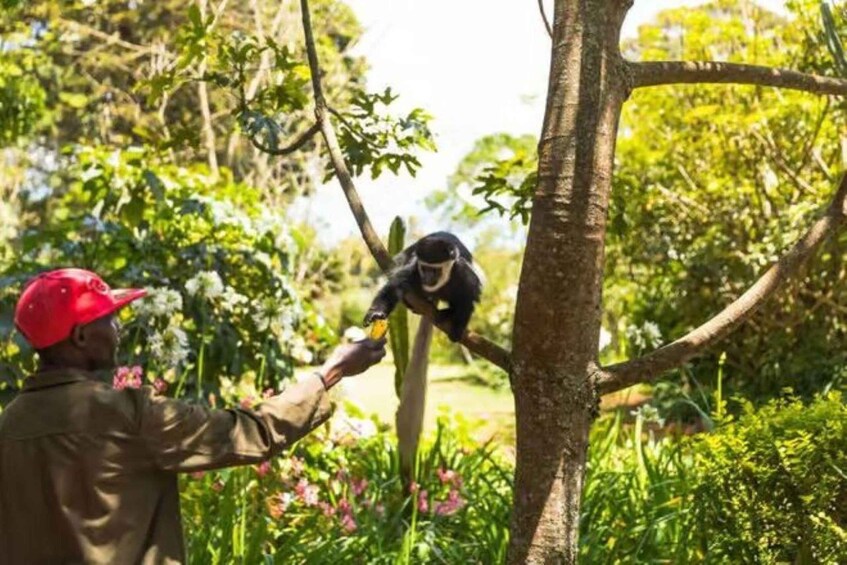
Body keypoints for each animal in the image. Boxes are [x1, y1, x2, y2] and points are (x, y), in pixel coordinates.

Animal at [363, 232, 483, 482]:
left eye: (434, 270)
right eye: (424, 268)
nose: (427, 278)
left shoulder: (463, 273)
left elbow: (470, 297)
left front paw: (458, 327)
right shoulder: (412, 269)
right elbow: (395, 285)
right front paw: (376, 312)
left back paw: (446, 314)